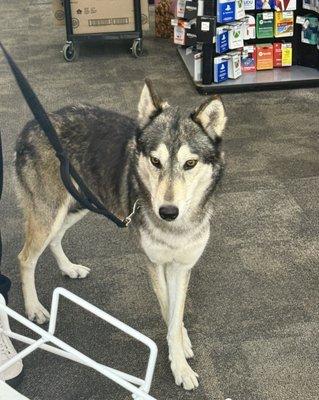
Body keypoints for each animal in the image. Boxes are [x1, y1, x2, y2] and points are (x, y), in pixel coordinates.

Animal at [14, 79, 228, 390]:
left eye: (190, 164)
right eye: (155, 161)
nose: (167, 211)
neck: (176, 227)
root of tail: (30, 125)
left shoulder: (182, 266)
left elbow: (176, 314)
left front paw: (182, 342)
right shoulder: (154, 263)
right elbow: (167, 309)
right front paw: (181, 367)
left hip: (80, 206)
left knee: (55, 240)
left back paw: (69, 269)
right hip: (50, 214)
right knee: (26, 258)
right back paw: (34, 308)